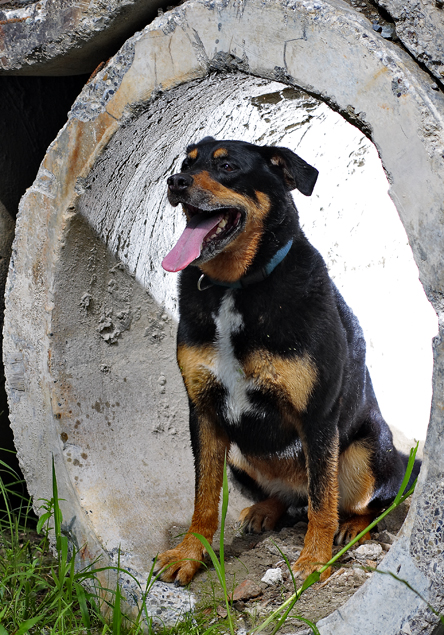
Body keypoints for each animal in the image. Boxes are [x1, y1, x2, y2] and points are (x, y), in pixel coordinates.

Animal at [155, 138, 420, 588]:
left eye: (228, 166)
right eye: (185, 164)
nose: (176, 182)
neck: (235, 287)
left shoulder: (318, 416)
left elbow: (322, 500)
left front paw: (314, 562)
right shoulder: (204, 413)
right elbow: (203, 499)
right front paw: (189, 554)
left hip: (364, 452)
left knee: (362, 504)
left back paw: (352, 528)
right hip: (240, 454)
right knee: (285, 497)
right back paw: (266, 510)